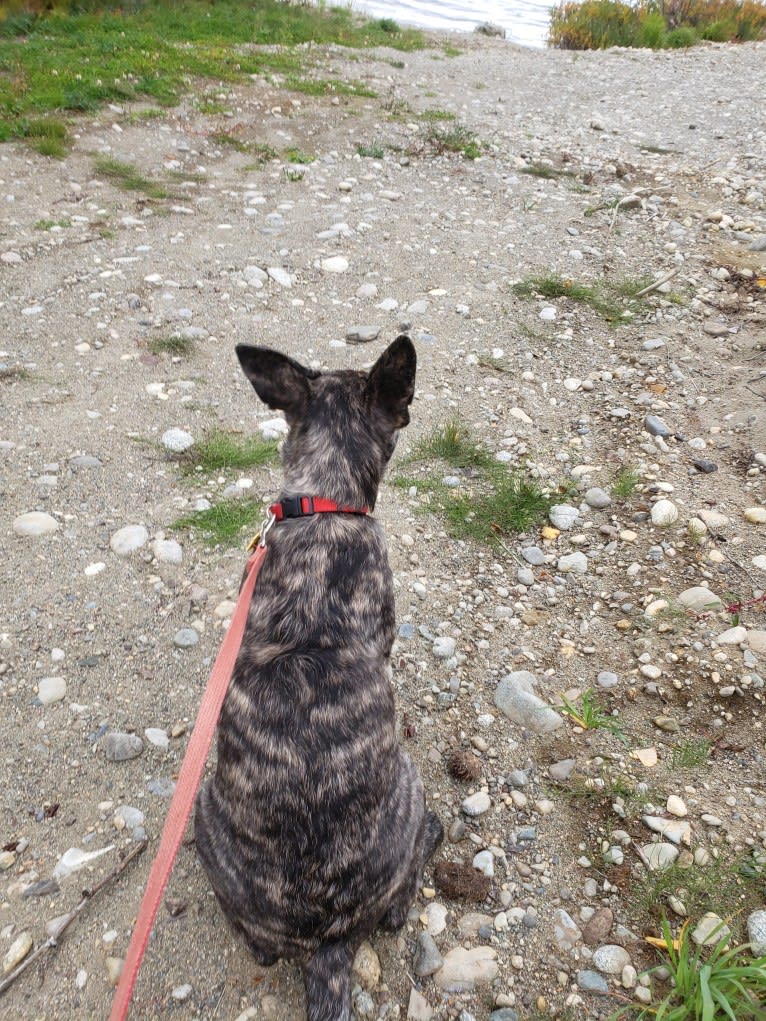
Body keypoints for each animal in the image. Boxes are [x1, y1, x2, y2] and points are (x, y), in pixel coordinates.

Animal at [195, 336, 443, 1021]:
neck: (320, 505)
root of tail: (327, 943)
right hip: (411, 788)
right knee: (402, 899)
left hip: (202, 818)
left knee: (257, 947)